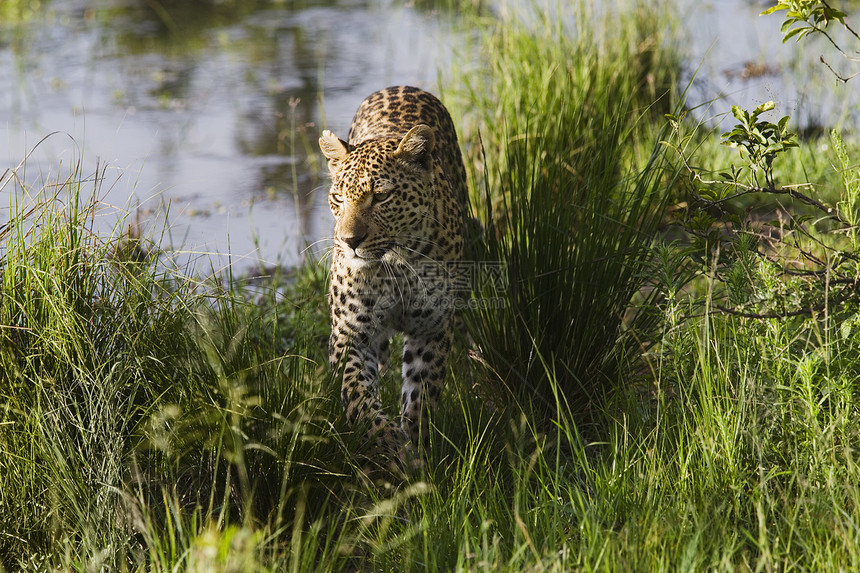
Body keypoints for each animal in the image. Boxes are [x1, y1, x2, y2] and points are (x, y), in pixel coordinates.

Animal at [320, 85, 466, 462]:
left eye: (381, 196)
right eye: (338, 199)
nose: (349, 241)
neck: (396, 265)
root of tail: (401, 86)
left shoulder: (432, 330)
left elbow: (421, 398)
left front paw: (416, 452)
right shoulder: (351, 334)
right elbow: (357, 397)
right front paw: (387, 447)